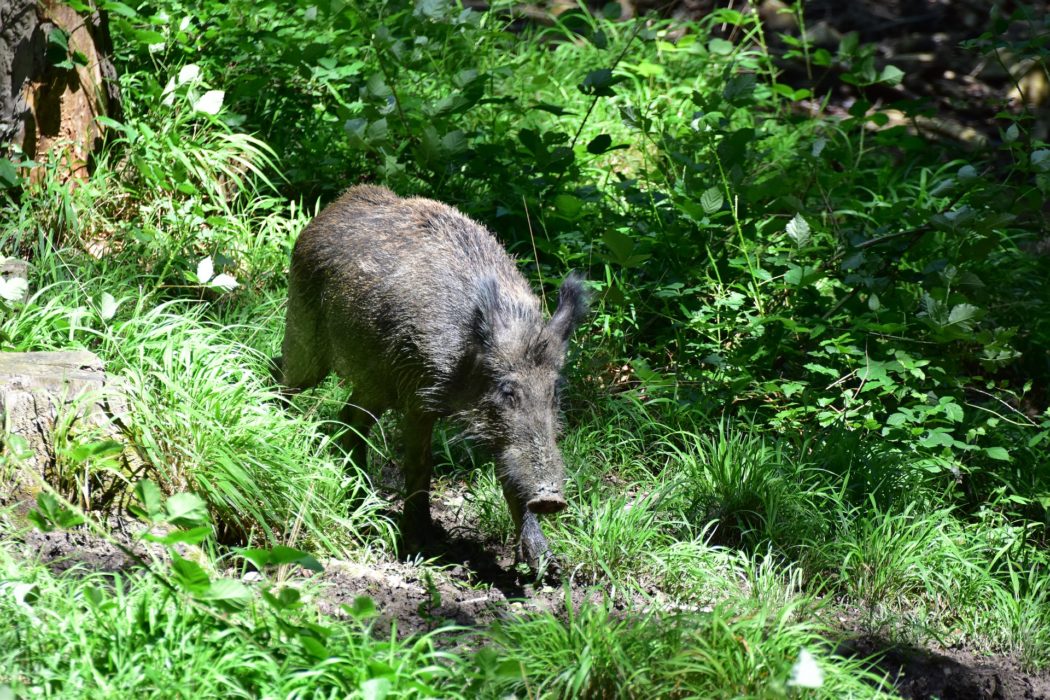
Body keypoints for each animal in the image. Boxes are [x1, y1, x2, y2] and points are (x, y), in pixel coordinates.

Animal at [274, 185, 587, 570]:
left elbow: (511, 478)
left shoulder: (496, 429)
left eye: (554, 392)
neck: (464, 362)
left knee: (348, 420)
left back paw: (362, 501)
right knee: (282, 374)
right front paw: (420, 545)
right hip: (305, 337)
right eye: (507, 390)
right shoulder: (418, 395)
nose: (551, 499)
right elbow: (421, 465)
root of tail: (335, 206)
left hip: (374, 382)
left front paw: (548, 567)